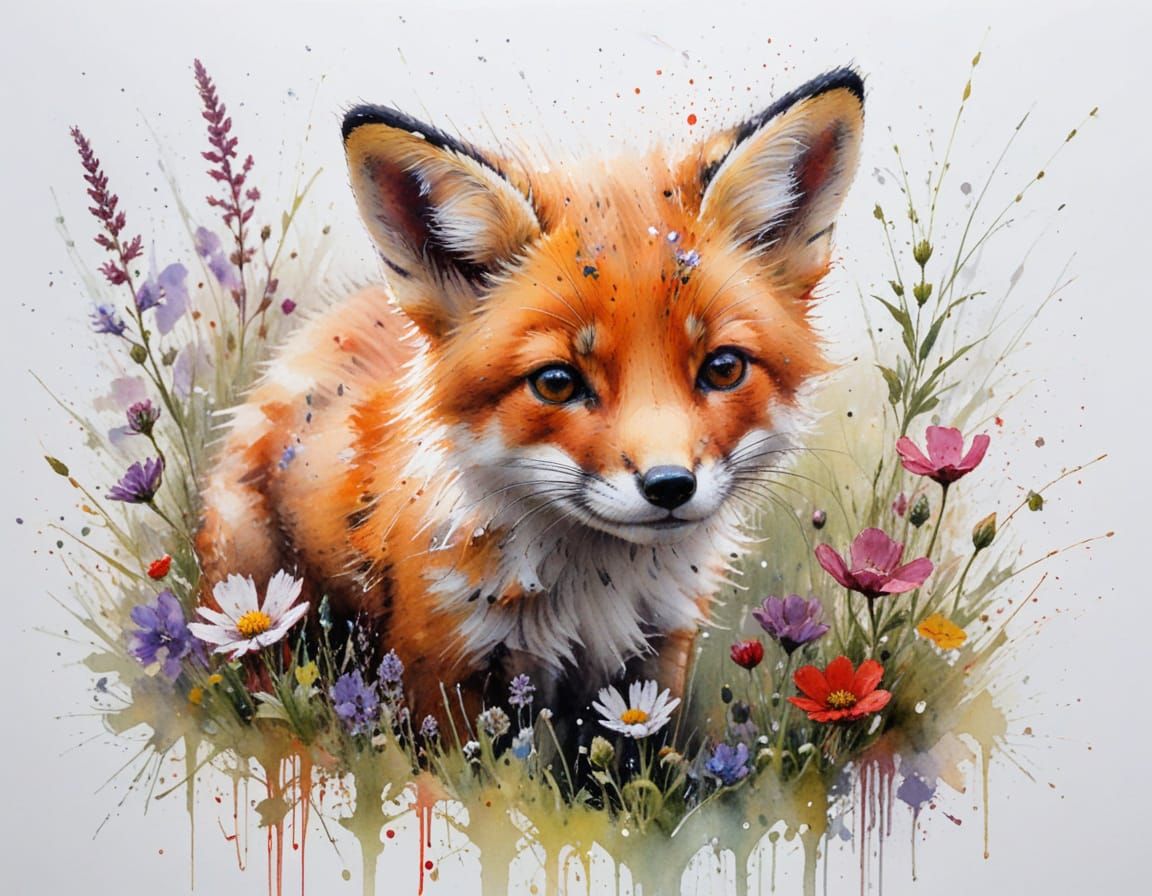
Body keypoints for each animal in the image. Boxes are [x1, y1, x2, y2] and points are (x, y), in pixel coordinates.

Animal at [195, 68, 865, 740]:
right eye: (557, 383)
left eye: (723, 368)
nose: (670, 485)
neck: (594, 594)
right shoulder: (441, 668)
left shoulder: (657, 657)